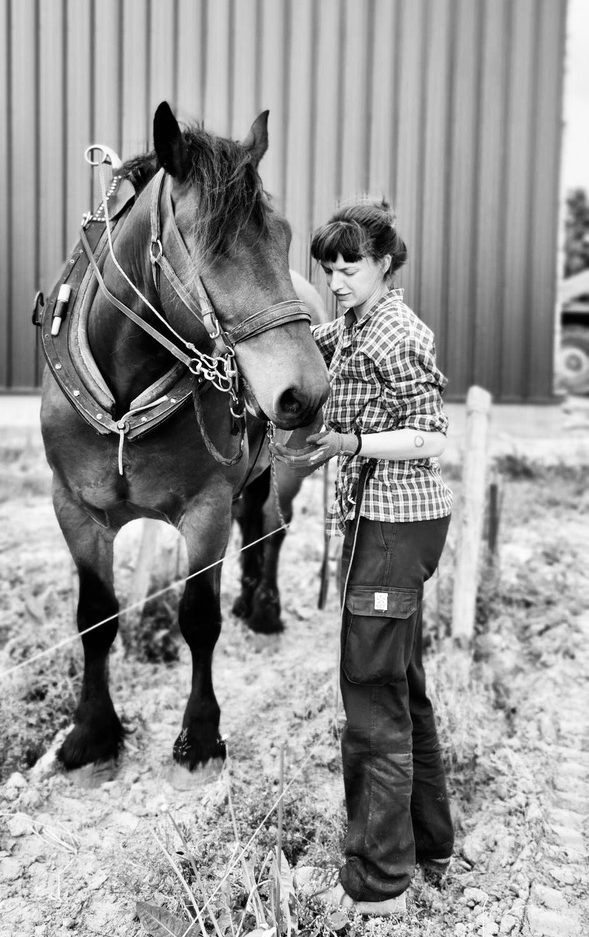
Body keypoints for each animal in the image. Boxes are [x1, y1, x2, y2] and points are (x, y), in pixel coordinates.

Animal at [38, 101, 329, 772]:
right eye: (212, 248)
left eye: (284, 236)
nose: (305, 393)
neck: (124, 396)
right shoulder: (73, 507)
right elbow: (96, 617)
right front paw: (91, 732)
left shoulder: (206, 508)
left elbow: (198, 617)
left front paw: (200, 735)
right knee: (257, 520)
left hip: (292, 464)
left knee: (272, 526)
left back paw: (264, 606)